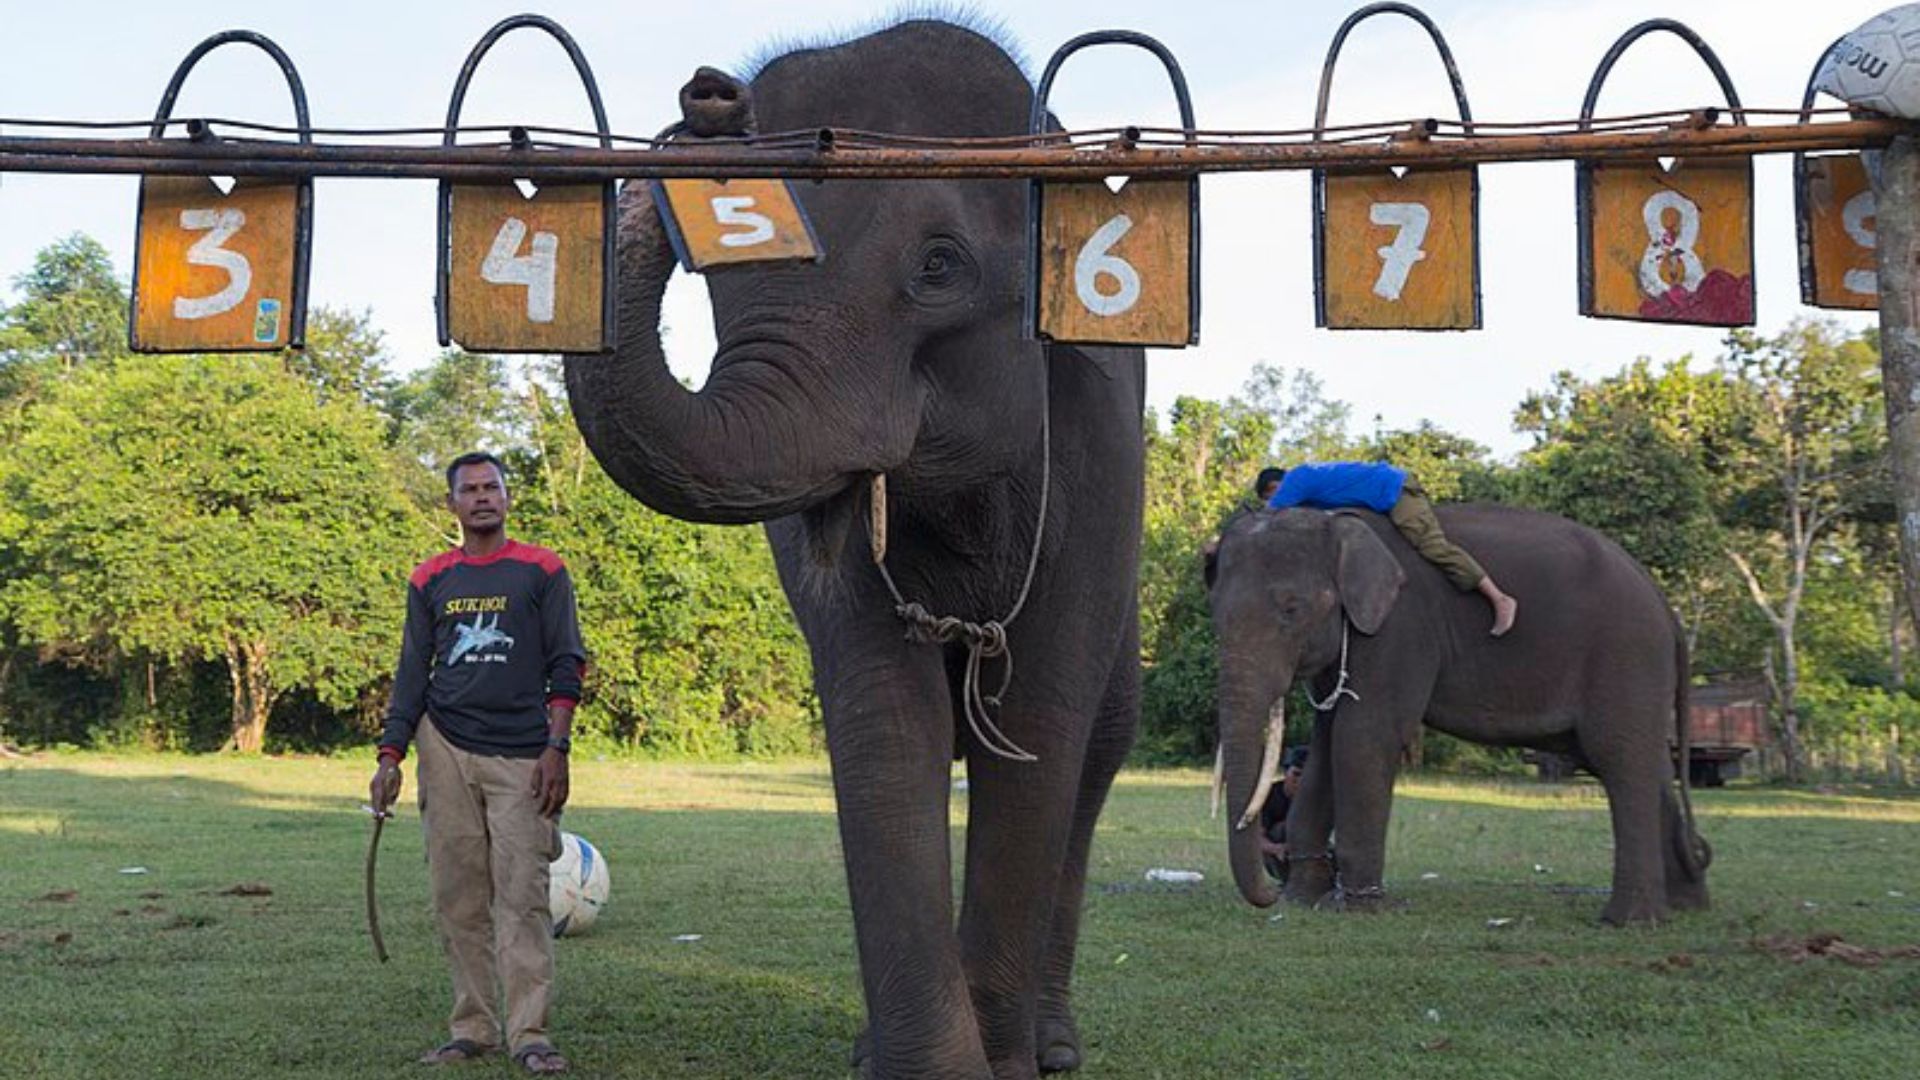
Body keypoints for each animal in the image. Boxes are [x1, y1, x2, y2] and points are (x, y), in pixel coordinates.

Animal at [560, 16, 1144, 1076]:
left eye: (941, 267)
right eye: (718, 280)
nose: (708, 98)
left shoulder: (1100, 450)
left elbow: (1041, 715)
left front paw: (999, 1066)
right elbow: (880, 708)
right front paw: (926, 1067)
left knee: (1104, 737)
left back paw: (1052, 1045)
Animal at [1205, 499, 1720, 922]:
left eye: (1291, 609)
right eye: (1215, 613)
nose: (1269, 894)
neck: (1336, 522)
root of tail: (1666, 608)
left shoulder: (1400, 628)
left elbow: (1365, 736)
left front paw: (1361, 907)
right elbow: (1327, 740)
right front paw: (1303, 900)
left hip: (1626, 655)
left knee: (1619, 761)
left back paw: (1629, 921)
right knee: (1647, 764)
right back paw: (1685, 906)